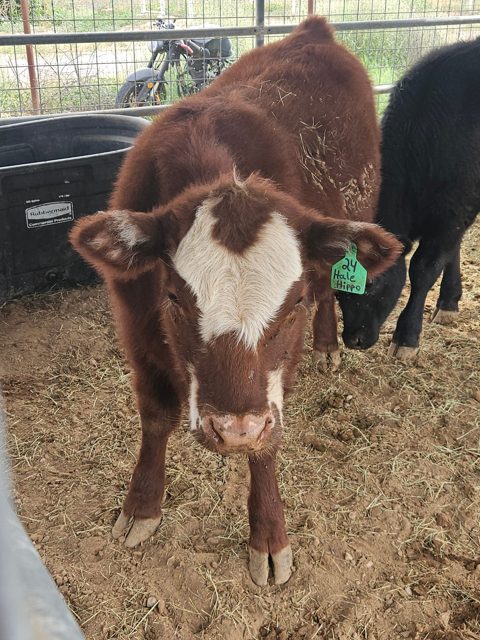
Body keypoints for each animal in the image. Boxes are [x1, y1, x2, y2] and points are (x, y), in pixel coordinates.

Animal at [70, 17, 401, 586]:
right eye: (174, 297)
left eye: (291, 304)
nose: (235, 431)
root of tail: (315, 31)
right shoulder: (137, 330)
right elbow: (154, 417)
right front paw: (141, 505)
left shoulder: (277, 375)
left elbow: (268, 445)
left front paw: (268, 535)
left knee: (331, 284)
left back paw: (328, 343)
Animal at [338, 38, 480, 360]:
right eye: (337, 289)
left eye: (372, 283)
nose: (354, 339)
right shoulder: (452, 213)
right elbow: (451, 250)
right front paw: (449, 301)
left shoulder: (456, 207)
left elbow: (424, 268)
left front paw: (407, 336)